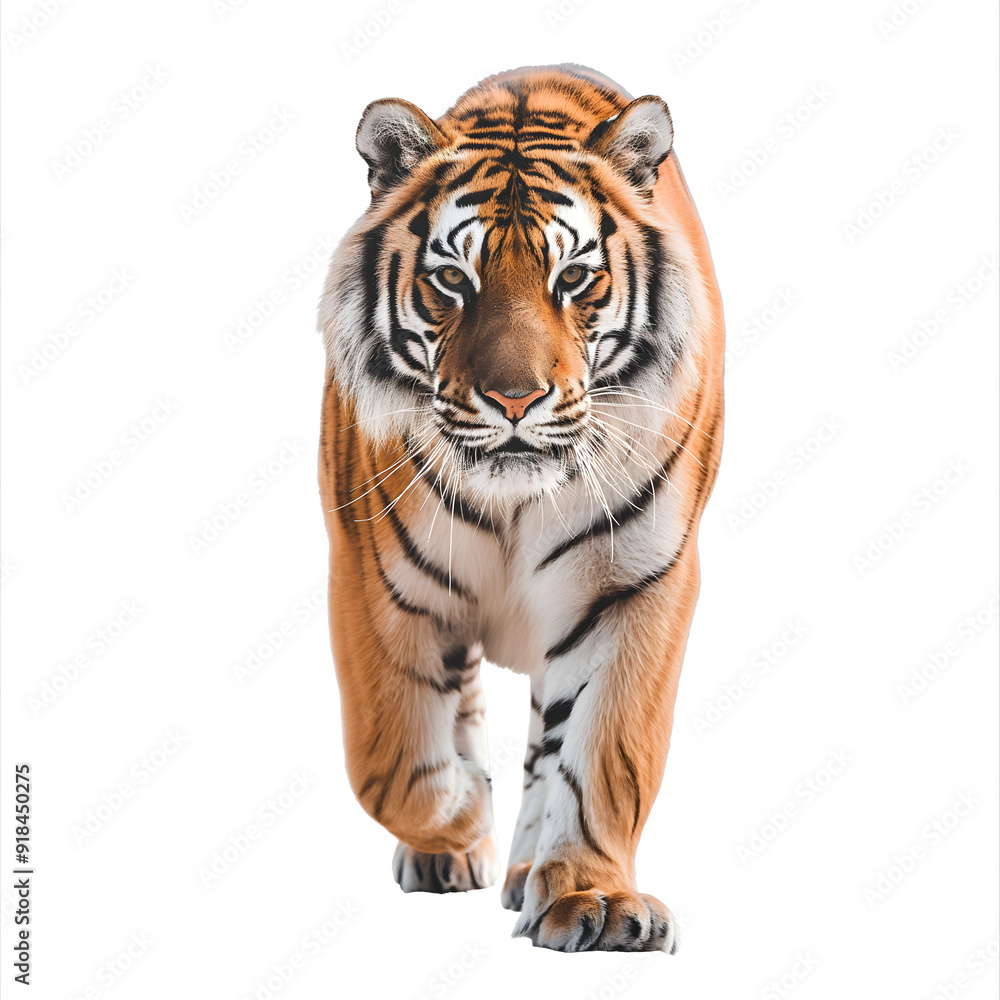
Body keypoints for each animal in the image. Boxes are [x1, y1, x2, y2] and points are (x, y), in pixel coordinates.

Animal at [317, 64, 724, 953]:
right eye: (451, 281)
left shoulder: (636, 585)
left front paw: (592, 899)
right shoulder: (371, 582)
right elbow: (389, 761)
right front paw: (461, 817)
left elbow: (606, 753)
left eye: (572, 279)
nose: (513, 399)